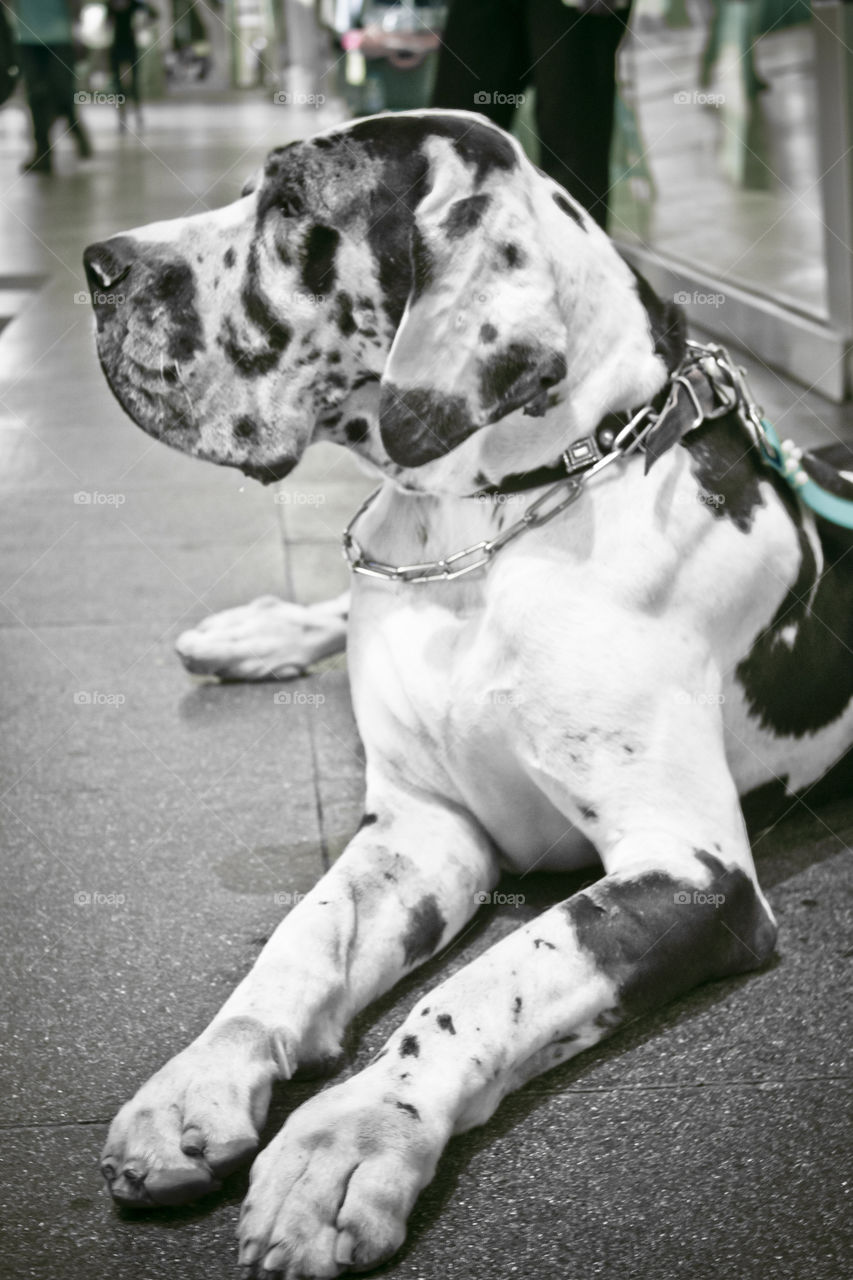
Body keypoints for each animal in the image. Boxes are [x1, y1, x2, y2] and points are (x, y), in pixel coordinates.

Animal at [83, 110, 850, 1280]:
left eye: (289, 207)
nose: (99, 265)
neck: (488, 529)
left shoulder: (693, 870)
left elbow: (485, 984)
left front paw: (350, 1137)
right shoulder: (421, 827)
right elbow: (298, 940)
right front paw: (199, 1079)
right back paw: (255, 632)